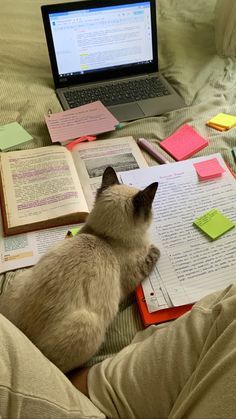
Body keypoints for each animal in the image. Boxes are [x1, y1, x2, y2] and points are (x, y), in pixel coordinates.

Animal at [0, 166, 160, 372]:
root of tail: (24, 335)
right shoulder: (133, 275)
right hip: (89, 327)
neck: (103, 237)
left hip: (21, 279)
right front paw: (156, 248)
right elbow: (151, 256)